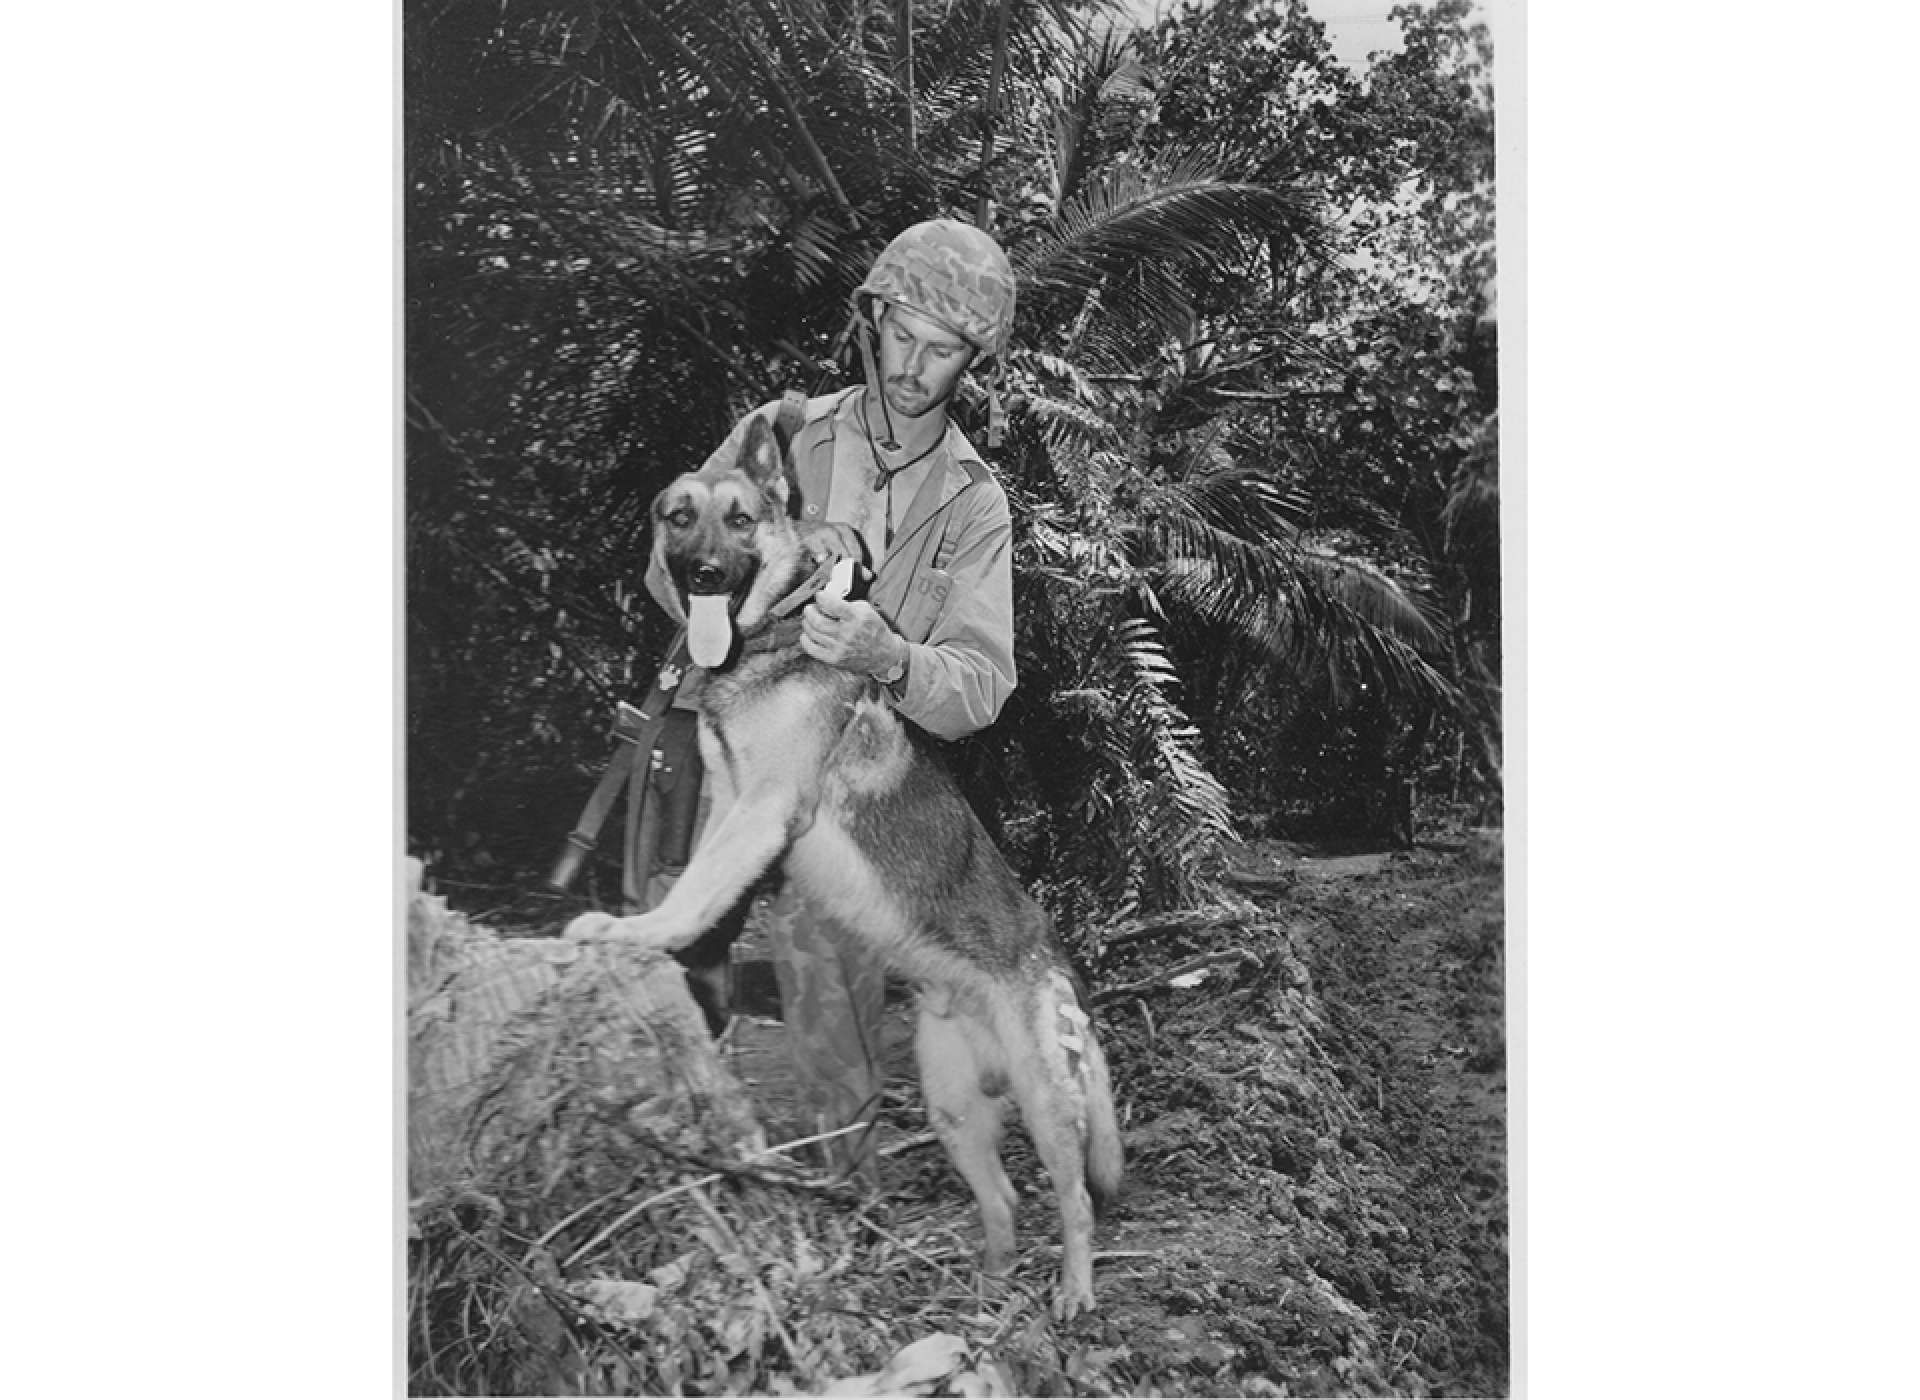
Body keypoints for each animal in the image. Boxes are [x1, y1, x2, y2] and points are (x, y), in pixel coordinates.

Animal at [560, 409, 1121, 1313]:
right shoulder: (730, 805)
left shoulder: (760, 811)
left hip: (1047, 1106)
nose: (705, 572)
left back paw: (1071, 1290)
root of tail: (1055, 963)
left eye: (741, 519)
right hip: (954, 1112)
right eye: (677, 517)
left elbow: (693, 894)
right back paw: (984, 1289)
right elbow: (702, 888)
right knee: (1001, 1199)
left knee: (1073, 1199)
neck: (773, 638)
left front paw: (634, 933)